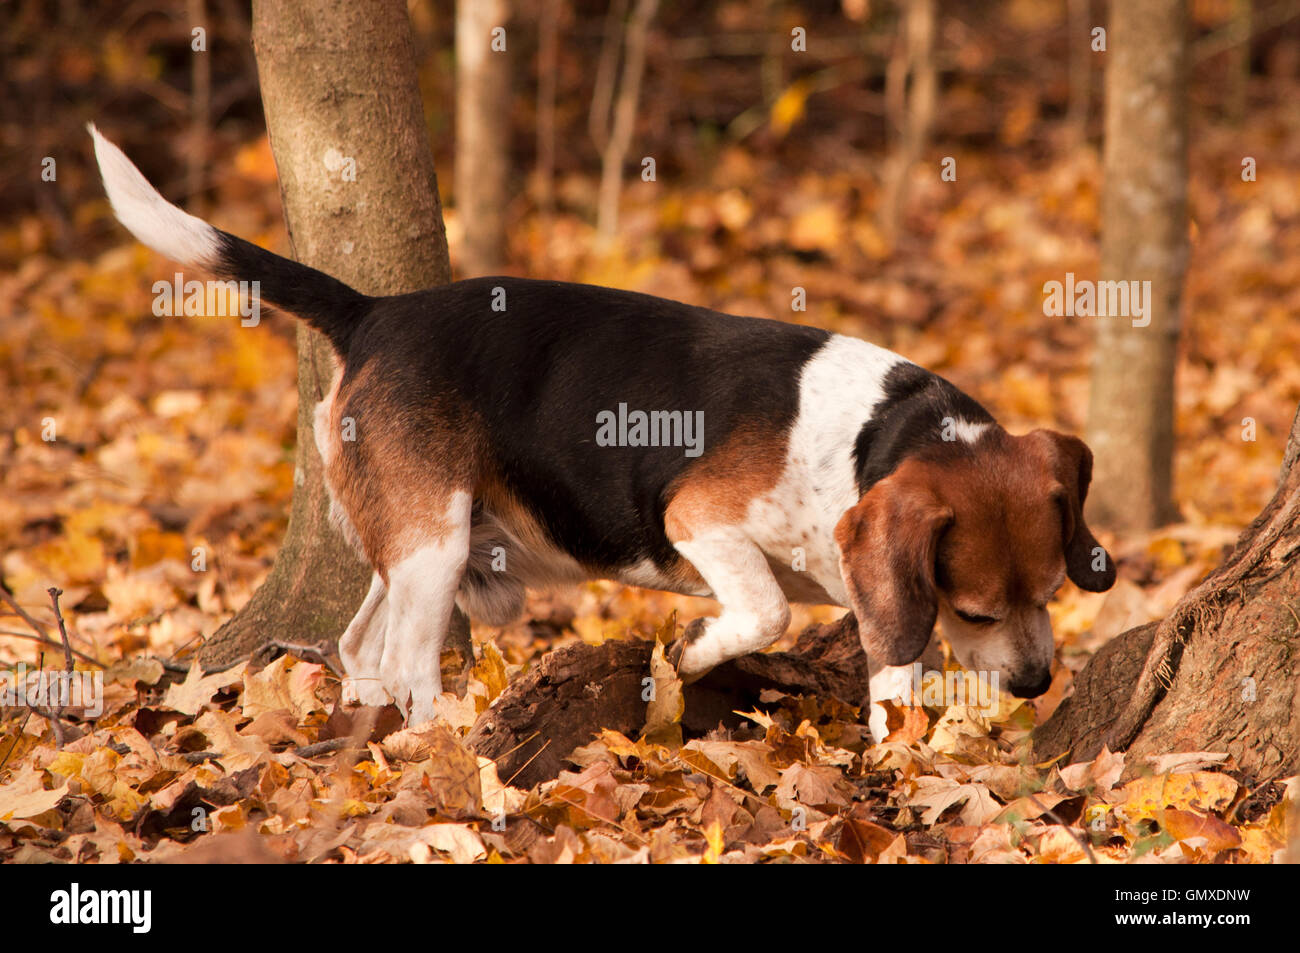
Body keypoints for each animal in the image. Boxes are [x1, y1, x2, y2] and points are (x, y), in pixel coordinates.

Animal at [91, 124, 1118, 738]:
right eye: (975, 609)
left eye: (1051, 594)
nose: (1036, 684)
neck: (875, 433)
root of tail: (375, 311)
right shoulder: (701, 518)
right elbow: (765, 610)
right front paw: (692, 653)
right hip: (434, 545)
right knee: (408, 662)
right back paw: (437, 748)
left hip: (417, 542)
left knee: (357, 650)